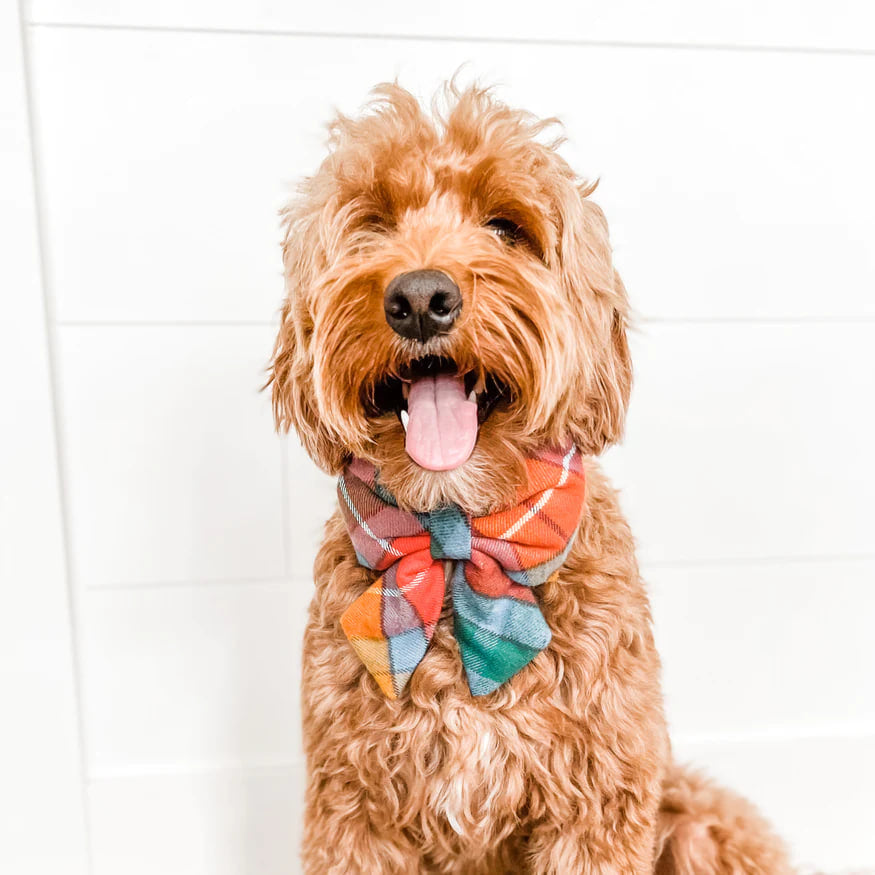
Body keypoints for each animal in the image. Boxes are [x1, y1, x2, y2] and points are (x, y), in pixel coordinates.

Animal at [268, 82, 792, 875]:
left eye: (505, 227)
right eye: (373, 225)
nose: (419, 298)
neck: (458, 542)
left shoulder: (598, 801)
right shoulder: (353, 809)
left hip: (697, 814)